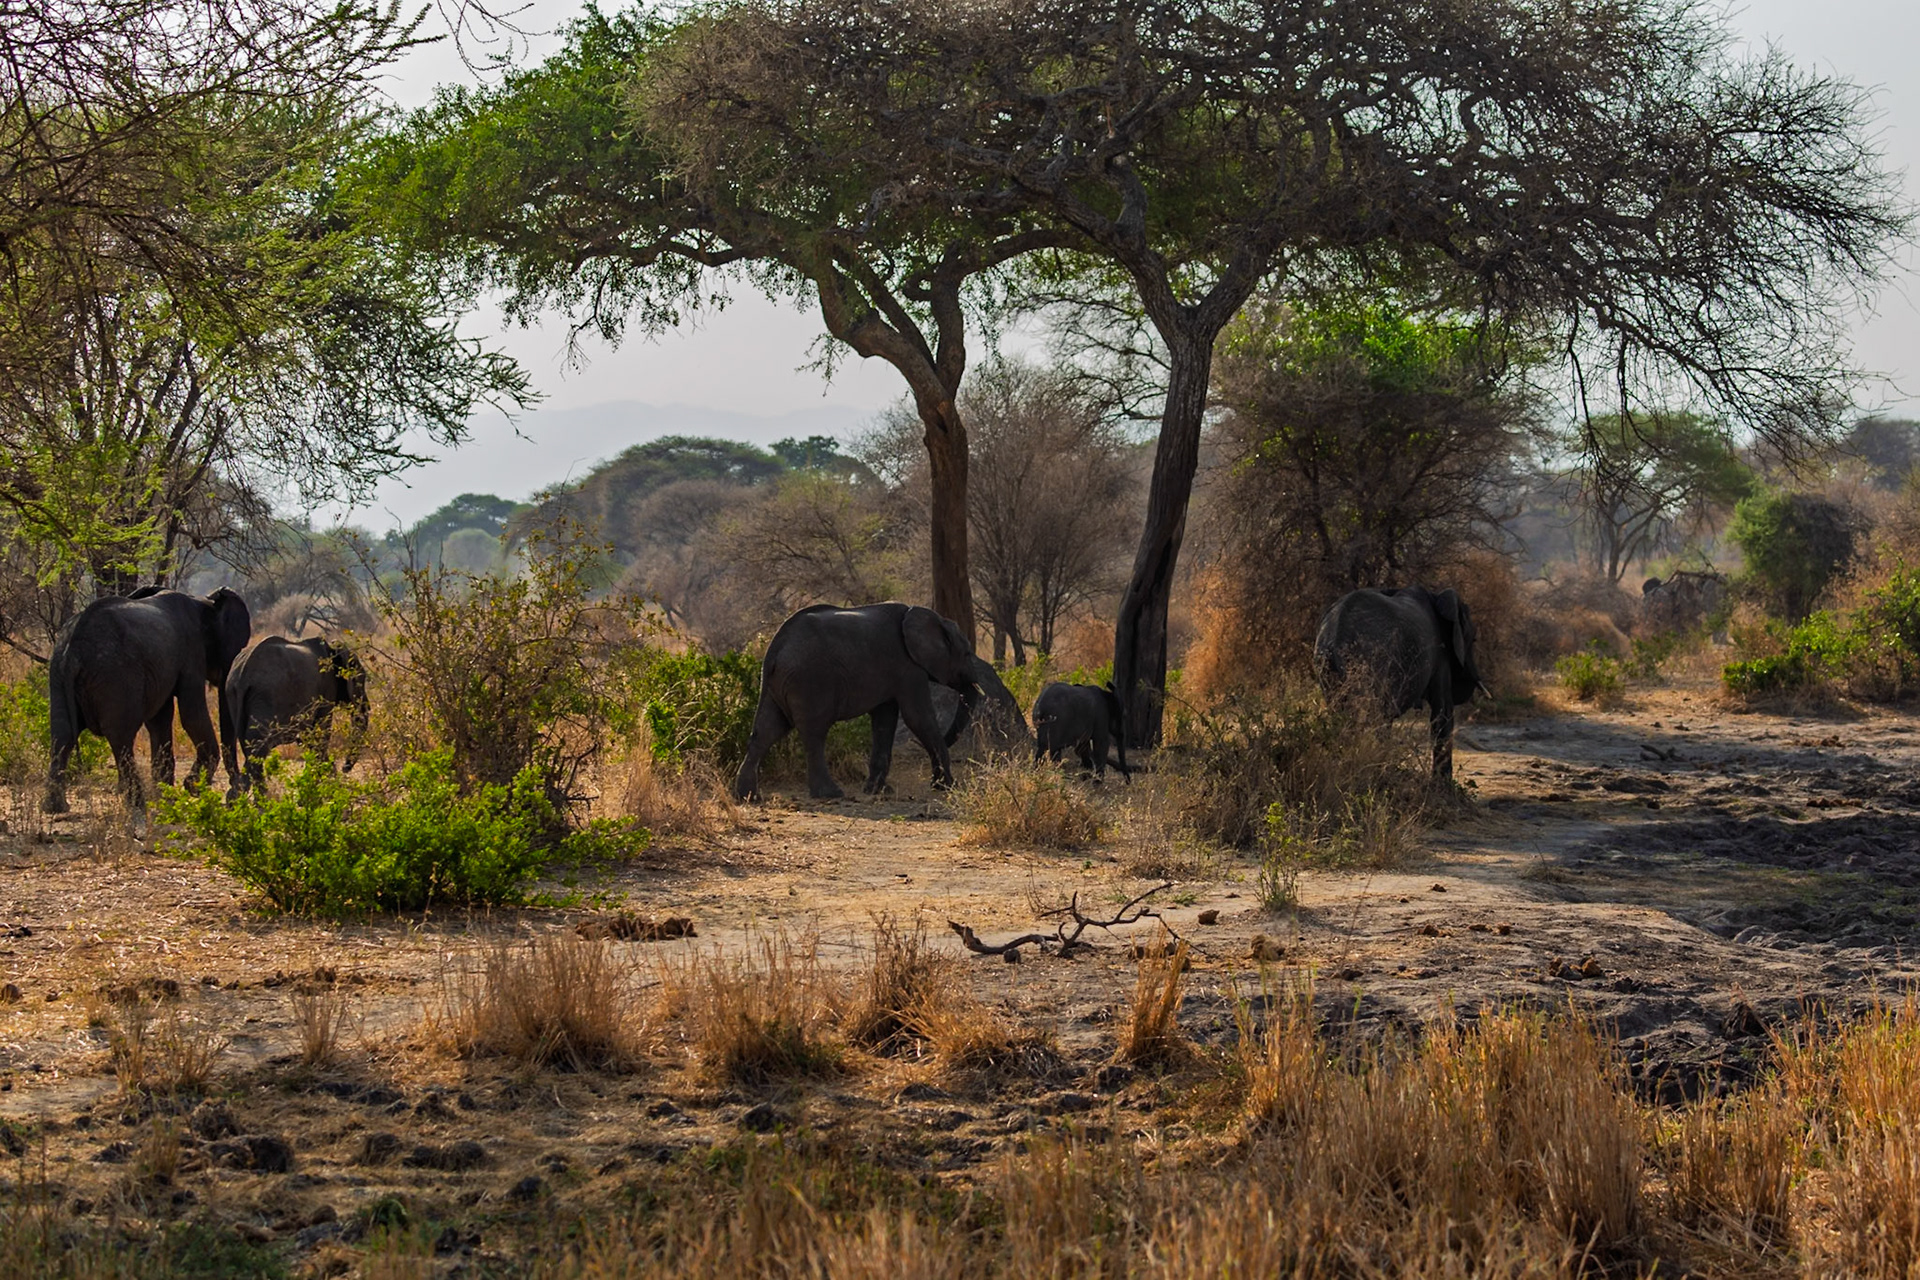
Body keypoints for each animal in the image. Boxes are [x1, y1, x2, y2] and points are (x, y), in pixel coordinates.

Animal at [44, 586, 253, 824]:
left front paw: (168, 798)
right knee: (121, 737)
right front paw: (190, 788)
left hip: (58, 673)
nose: (234, 794)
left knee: (62, 734)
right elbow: (191, 715)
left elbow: (160, 721)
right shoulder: (191, 653)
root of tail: (74, 649)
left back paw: (56, 807)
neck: (205, 602)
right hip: (116, 676)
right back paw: (137, 804)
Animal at [223, 636, 371, 796]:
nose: (345, 768)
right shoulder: (327, 688)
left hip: (234, 695)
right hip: (265, 697)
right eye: (362, 679)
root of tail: (242, 678)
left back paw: (237, 795)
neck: (333, 648)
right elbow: (321, 732)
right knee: (258, 745)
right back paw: (263, 800)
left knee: (250, 747)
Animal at [733, 603, 981, 800]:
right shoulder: (908, 668)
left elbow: (884, 721)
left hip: (779, 682)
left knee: (766, 731)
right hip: (810, 680)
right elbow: (918, 717)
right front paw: (948, 787)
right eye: (967, 654)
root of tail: (774, 648)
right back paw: (830, 794)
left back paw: (748, 797)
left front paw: (877, 791)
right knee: (814, 733)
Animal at [1312, 586, 1484, 783]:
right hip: (1372, 660)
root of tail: (1334, 635)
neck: (1437, 597)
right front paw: (1442, 785)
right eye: (1474, 639)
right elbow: (1443, 710)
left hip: (1328, 668)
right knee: (1373, 717)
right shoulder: (1439, 655)